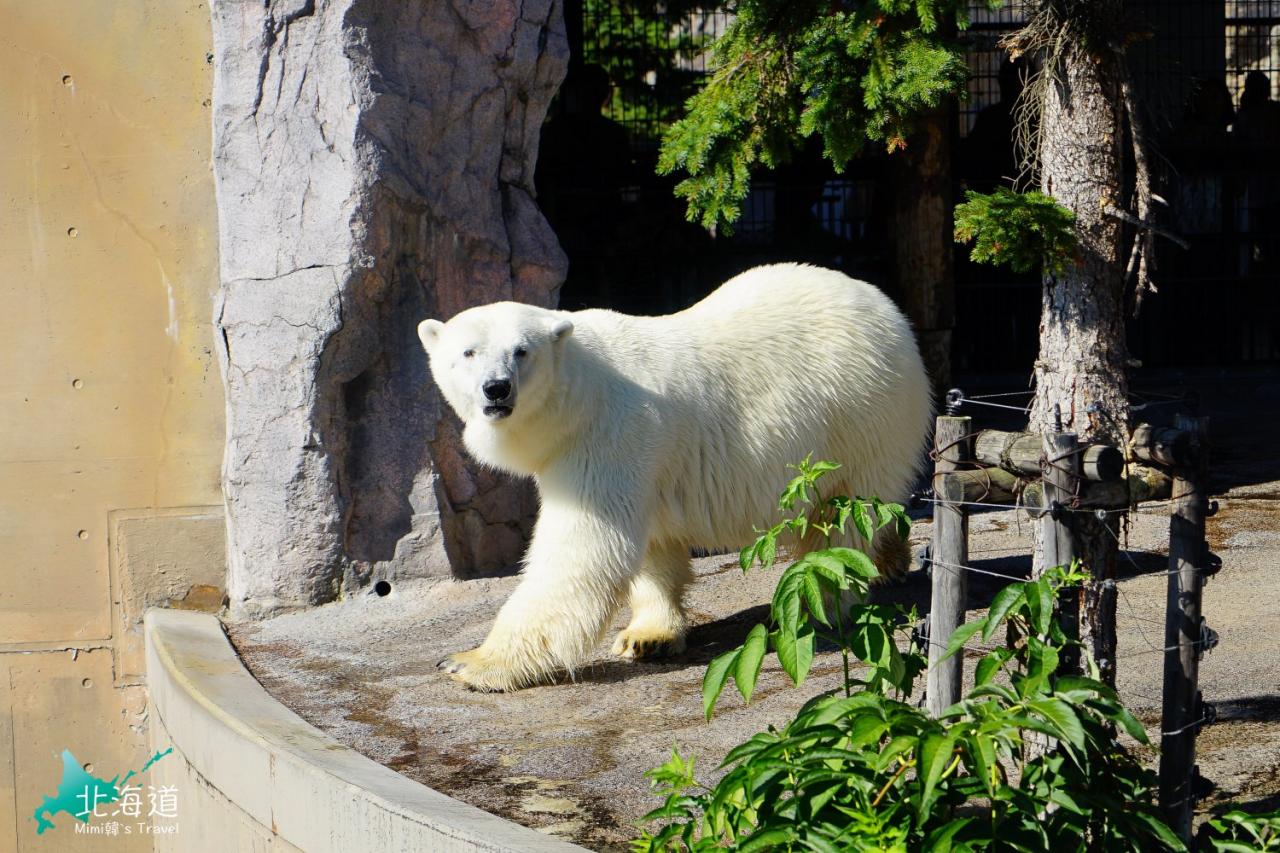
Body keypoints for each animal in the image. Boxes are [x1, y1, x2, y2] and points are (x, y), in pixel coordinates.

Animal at [419, 262, 931, 686]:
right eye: (468, 352)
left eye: (522, 351)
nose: (497, 388)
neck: (578, 399)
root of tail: (886, 308)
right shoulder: (643, 457)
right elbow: (652, 546)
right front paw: (647, 637)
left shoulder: (609, 436)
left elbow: (581, 551)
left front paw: (469, 661)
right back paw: (891, 560)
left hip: (858, 413)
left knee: (843, 515)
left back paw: (814, 602)